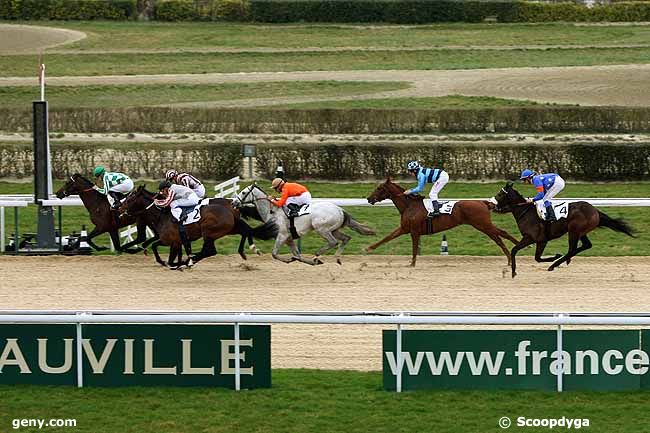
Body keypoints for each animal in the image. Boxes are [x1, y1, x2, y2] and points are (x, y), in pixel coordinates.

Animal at [119, 186, 276, 266]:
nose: (118, 207)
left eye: (130, 198)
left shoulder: (170, 240)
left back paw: (190, 260)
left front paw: (168, 262)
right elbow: (158, 248)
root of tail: (232, 204)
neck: (161, 215)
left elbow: (155, 247)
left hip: (209, 232)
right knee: (246, 231)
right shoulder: (175, 242)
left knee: (210, 251)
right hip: (230, 228)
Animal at [233, 182, 374, 264]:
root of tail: (340, 210)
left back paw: (317, 256)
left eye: (244, 192)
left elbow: (274, 254)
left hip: (321, 228)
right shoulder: (289, 239)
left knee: (333, 242)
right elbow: (297, 255)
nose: (234, 202)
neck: (272, 211)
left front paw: (289, 260)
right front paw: (295, 259)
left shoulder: (282, 235)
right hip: (334, 229)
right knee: (346, 238)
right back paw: (337, 258)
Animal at [364, 179, 516, 266]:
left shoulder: (414, 231)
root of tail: (484, 202)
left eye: (379, 188)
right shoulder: (404, 228)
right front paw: (369, 248)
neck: (410, 206)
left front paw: (412, 263)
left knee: (498, 237)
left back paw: (510, 258)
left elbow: (414, 248)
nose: (369, 199)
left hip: (482, 224)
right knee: (502, 232)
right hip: (484, 224)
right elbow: (387, 237)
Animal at [492, 181, 632, 276]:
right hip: (581, 231)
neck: (526, 212)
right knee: (585, 245)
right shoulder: (539, 240)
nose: (493, 205)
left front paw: (513, 272)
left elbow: (516, 251)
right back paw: (564, 261)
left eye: (500, 194)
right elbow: (536, 257)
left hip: (574, 230)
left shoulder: (533, 238)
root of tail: (595, 211)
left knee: (572, 249)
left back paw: (555, 264)